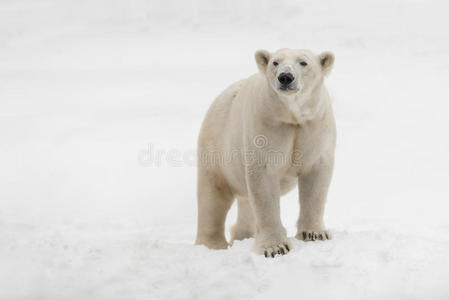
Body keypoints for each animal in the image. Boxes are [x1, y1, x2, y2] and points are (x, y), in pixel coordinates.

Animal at [194, 48, 334, 256]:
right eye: (275, 62)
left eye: (303, 62)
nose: (285, 77)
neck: (291, 116)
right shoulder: (265, 127)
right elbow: (264, 184)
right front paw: (275, 247)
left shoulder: (314, 126)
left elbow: (315, 179)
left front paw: (314, 234)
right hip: (216, 147)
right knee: (212, 196)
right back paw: (212, 244)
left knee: (245, 202)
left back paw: (243, 234)